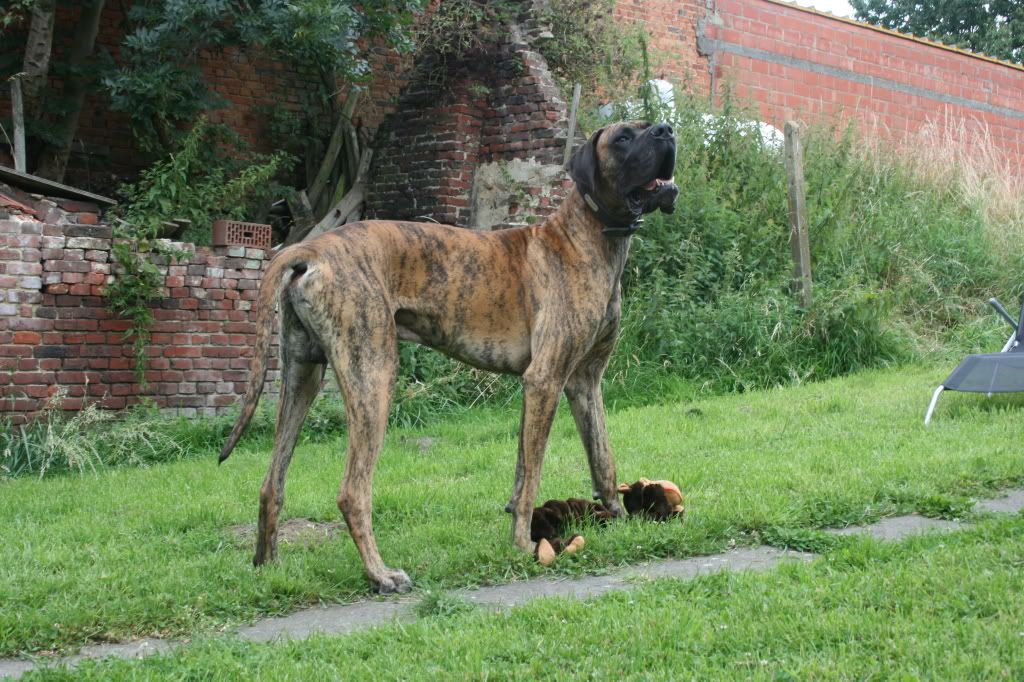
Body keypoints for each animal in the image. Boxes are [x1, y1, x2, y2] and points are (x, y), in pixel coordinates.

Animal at [220, 119, 675, 593]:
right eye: (623, 138)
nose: (666, 130)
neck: (586, 236)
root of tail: (310, 248)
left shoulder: (584, 382)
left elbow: (599, 459)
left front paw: (618, 519)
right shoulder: (545, 380)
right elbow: (532, 477)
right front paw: (523, 544)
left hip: (302, 376)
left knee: (271, 483)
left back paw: (268, 567)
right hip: (373, 377)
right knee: (352, 492)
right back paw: (380, 574)